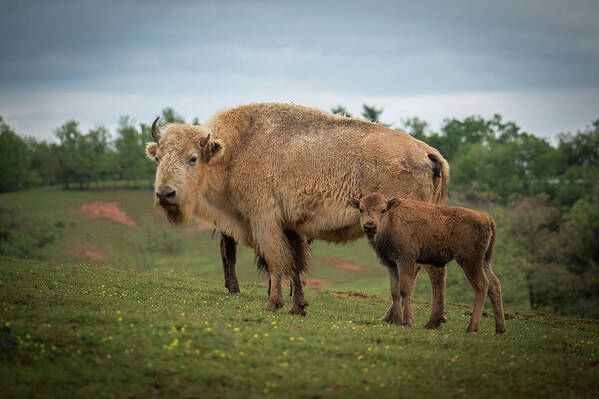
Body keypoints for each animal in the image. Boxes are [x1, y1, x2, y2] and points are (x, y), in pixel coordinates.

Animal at [148, 103, 450, 328]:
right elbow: (294, 264)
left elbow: (275, 261)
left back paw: (401, 318)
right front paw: (298, 307)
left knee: (418, 270)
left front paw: (272, 304)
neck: (237, 148)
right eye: (158, 158)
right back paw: (417, 319)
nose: (165, 193)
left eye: (192, 158)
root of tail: (429, 153)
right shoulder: (291, 227)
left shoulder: (264, 221)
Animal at [346, 194, 506, 334]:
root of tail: (487, 218)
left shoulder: (406, 259)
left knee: (481, 285)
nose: (370, 226)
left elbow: (405, 289)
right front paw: (397, 321)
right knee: (494, 284)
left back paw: (472, 328)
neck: (392, 221)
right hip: (484, 261)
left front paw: (408, 322)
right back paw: (500, 329)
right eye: (361, 209)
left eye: (383, 209)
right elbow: (394, 291)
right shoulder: (390, 263)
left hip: (470, 260)